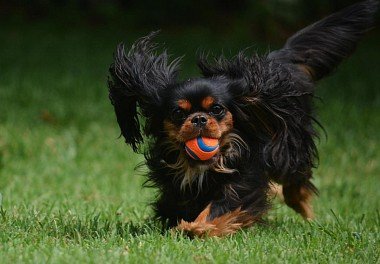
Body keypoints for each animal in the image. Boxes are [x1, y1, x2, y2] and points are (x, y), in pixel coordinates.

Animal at [108, 1, 378, 237]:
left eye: (217, 109)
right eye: (177, 113)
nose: (198, 119)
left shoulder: (242, 181)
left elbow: (220, 207)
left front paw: (195, 228)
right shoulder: (176, 186)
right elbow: (174, 206)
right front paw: (185, 224)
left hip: (288, 147)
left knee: (295, 181)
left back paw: (305, 209)